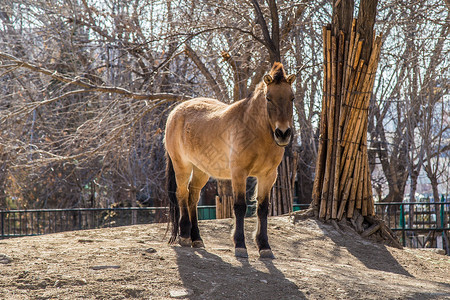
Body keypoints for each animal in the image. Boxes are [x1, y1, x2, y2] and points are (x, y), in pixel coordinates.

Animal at [165, 61, 296, 258]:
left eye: (292, 98)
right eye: (268, 98)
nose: (283, 134)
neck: (254, 130)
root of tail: (175, 112)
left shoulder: (268, 176)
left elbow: (262, 208)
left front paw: (264, 246)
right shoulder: (239, 174)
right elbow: (240, 207)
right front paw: (240, 245)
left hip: (201, 170)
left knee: (192, 198)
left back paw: (197, 239)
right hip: (182, 166)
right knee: (182, 194)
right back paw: (185, 237)